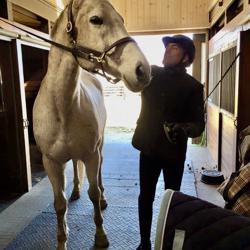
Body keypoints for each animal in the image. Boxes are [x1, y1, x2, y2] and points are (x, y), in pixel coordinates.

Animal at [33, 0, 150, 249]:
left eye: (121, 20)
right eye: (96, 19)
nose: (143, 70)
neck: (61, 108)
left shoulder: (91, 155)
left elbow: (93, 194)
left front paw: (101, 236)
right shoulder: (51, 162)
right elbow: (59, 203)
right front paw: (61, 241)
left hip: (99, 148)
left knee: (100, 174)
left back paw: (103, 196)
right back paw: (75, 190)